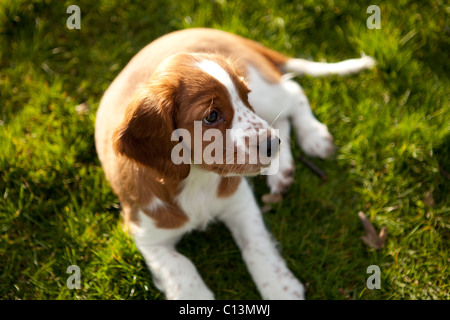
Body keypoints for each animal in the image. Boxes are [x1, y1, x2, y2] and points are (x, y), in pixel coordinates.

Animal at [96, 27, 376, 300]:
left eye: (244, 96)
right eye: (211, 116)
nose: (271, 145)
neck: (196, 179)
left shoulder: (239, 201)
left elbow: (256, 246)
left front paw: (281, 289)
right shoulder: (146, 236)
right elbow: (181, 267)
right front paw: (195, 295)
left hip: (265, 94)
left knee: (293, 92)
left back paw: (313, 137)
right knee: (282, 117)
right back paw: (283, 171)